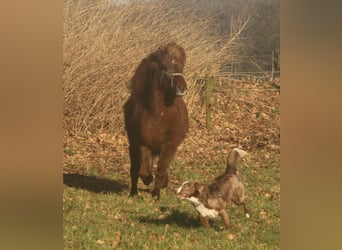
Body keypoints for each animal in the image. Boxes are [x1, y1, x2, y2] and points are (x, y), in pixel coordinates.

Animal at [123, 43, 188, 199]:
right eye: (165, 66)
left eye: (182, 66)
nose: (182, 88)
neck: (159, 116)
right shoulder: (143, 144)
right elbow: (145, 172)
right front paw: (149, 182)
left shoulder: (169, 146)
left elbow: (161, 170)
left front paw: (156, 194)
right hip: (133, 145)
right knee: (135, 169)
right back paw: (133, 193)